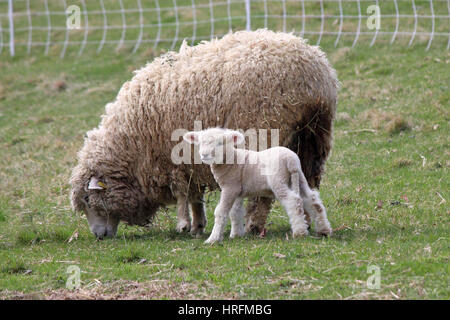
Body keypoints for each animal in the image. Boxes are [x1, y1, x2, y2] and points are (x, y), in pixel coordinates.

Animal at [181, 127, 332, 242]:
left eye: (220, 143)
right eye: (200, 143)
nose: (204, 155)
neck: (230, 161)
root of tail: (291, 160)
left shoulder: (229, 188)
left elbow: (221, 212)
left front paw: (213, 239)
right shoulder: (237, 190)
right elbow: (235, 212)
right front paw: (236, 234)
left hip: (279, 181)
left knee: (293, 201)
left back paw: (300, 232)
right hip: (300, 178)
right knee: (313, 200)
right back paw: (324, 230)